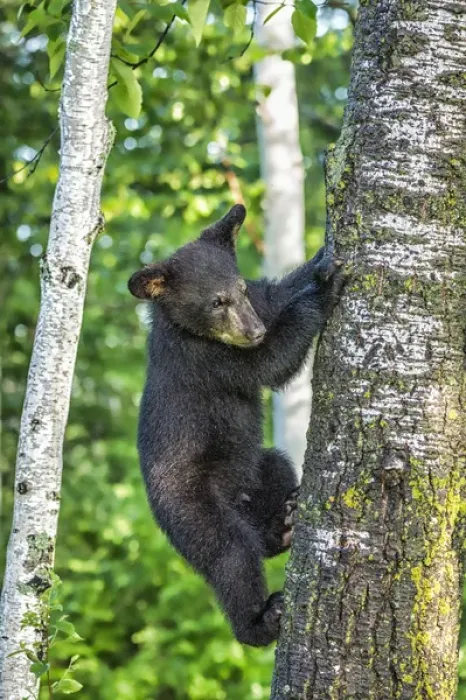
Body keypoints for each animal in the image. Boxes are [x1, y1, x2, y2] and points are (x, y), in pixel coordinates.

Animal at [128, 204, 343, 646]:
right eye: (216, 301)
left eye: (241, 289)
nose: (253, 329)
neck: (186, 328)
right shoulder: (207, 359)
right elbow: (269, 362)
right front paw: (323, 290)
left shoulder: (259, 303)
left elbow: (278, 294)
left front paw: (320, 261)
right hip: (193, 508)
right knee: (232, 555)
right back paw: (261, 620)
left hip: (254, 467)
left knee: (275, 473)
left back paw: (285, 522)